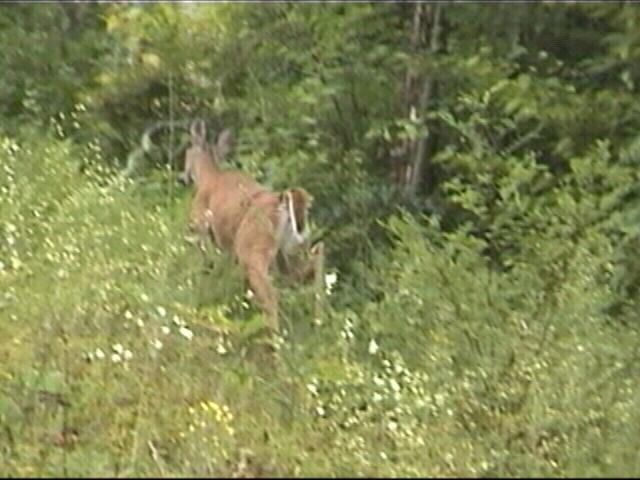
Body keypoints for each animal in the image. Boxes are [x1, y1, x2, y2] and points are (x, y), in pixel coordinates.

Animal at [178, 120, 324, 334]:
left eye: (187, 152)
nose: (183, 177)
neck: (209, 176)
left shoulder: (201, 228)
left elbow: (203, 264)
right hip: (292, 250)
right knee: (314, 265)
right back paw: (319, 320)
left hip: (253, 247)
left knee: (271, 292)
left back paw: (273, 337)